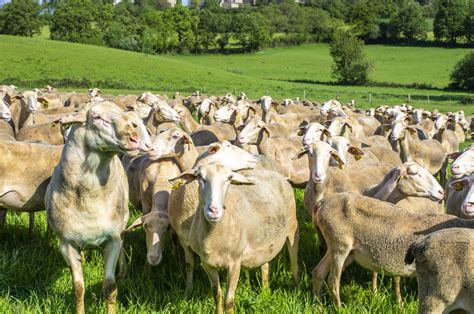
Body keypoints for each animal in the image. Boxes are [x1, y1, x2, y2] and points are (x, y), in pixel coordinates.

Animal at [44, 102, 152, 312]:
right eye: (97, 118)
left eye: (125, 117)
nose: (134, 139)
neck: (89, 202)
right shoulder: (66, 244)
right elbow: (78, 288)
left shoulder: (113, 240)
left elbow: (110, 287)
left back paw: (123, 272)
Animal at [168, 164, 298, 314]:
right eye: (199, 177)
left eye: (229, 178)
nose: (214, 210)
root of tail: (273, 173)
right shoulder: (207, 263)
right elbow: (216, 294)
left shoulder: (235, 262)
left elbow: (229, 301)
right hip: (265, 240)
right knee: (265, 265)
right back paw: (265, 290)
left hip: (292, 226)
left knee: (294, 258)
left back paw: (297, 286)